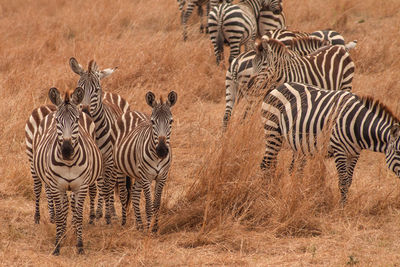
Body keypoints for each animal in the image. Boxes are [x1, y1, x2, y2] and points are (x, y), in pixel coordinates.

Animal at [32, 87, 102, 255]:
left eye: (76, 120)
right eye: (58, 121)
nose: (67, 150)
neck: (69, 162)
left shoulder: (81, 186)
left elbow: (78, 215)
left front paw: (80, 245)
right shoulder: (57, 187)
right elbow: (60, 215)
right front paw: (57, 245)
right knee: (51, 200)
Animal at [69, 57, 130, 225]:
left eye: (96, 90)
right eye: (79, 89)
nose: (84, 110)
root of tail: (109, 94)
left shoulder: (108, 159)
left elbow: (107, 187)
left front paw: (108, 216)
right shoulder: (91, 159)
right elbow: (93, 189)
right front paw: (91, 215)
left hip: (114, 161)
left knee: (113, 183)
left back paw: (112, 213)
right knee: (102, 183)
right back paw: (99, 212)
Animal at [111, 91, 176, 232]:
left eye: (171, 121)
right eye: (152, 122)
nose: (161, 150)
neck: (157, 158)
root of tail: (131, 112)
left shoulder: (162, 177)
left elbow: (156, 204)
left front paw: (154, 228)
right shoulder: (147, 177)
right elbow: (148, 205)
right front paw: (148, 229)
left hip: (137, 173)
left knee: (135, 194)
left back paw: (139, 224)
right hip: (119, 168)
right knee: (124, 194)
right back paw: (124, 223)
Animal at [260, 82, 400, 204]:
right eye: (398, 152)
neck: (357, 124)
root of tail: (280, 86)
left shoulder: (354, 153)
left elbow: (349, 180)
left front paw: (344, 205)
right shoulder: (339, 149)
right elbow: (343, 181)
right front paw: (341, 207)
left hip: (298, 144)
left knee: (294, 170)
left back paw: (297, 193)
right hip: (273, 132)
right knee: (266, 165)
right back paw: (267, 194)